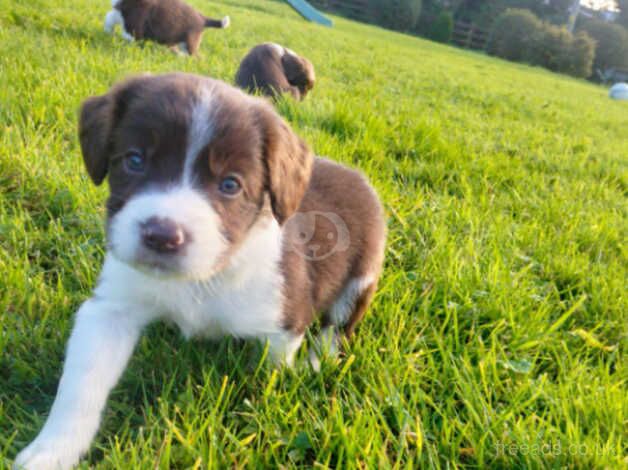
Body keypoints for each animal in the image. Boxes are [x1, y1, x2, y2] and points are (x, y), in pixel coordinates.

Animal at [14, 73, 386, 470]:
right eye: (134, 160)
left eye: (230, 184)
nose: (162, 236)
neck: (206, 276)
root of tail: (354, 174)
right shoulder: (111, 308)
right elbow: (81, 383)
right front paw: (51, 449)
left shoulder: (285, 320)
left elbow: (270, 373)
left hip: (363, 275)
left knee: (337, 328)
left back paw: (320, 363)